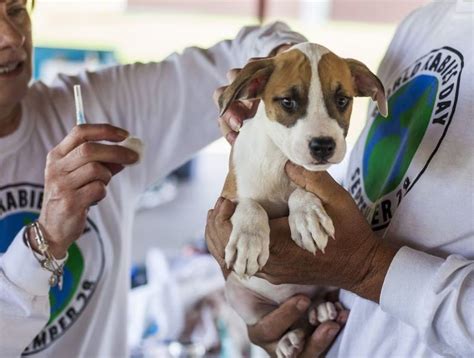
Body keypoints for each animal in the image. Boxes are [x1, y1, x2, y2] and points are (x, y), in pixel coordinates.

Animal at [218, 42, 388, 356]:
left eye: (342, 100)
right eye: (287, 102)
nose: (323, 146)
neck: (279, 159)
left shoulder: (316, 179)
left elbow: (301, 189)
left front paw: (307, 217)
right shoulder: (225, 199)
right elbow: (249, 204)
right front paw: (249, 239)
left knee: (312, 304)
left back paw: (320, 310)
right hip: (238, 296)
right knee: (285, 317)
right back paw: (289, 338)